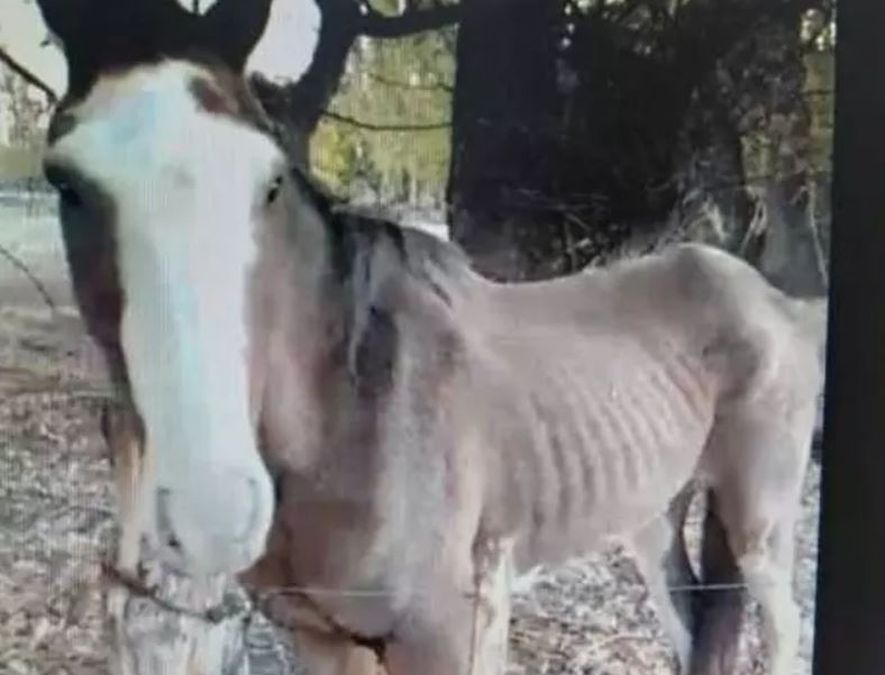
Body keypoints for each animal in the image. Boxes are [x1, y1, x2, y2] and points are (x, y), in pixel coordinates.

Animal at [36, 1, 826, 673]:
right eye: (66, 183)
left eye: (269, 180)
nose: (215, 510)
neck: (352, 412)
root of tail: (774, 298)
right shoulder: (324, 637)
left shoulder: (444, 631)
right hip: (652, 513)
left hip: (760, 525)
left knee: (785, 630)